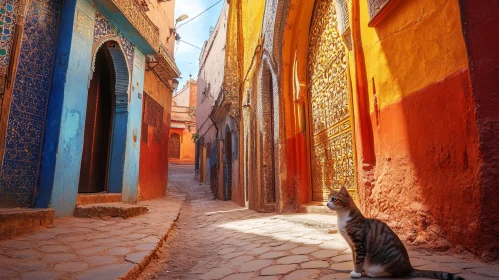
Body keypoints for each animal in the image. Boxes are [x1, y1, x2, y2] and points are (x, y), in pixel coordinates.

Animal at [328, 186, 464, 280]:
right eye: (329, 198)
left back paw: (374, 273)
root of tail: (409, 267)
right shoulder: (352, 245)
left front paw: (357, 273)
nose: (327, 203)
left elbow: (359, 259)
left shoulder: (358, 242)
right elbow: (354, 258)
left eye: (334, 199)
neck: (342, 216)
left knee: (396, 274)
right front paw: (359, 271)